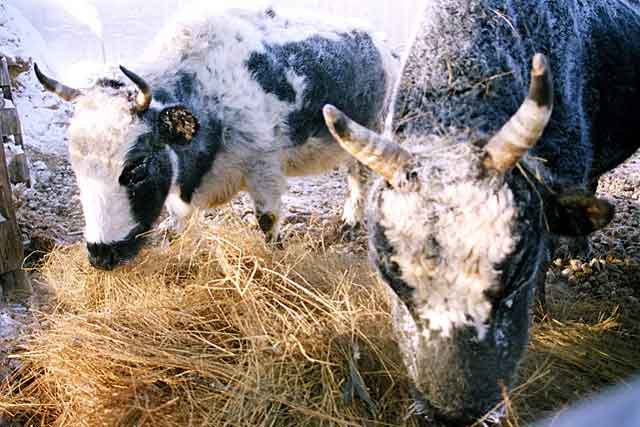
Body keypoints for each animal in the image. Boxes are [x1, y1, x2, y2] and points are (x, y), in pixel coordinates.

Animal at [33, 8, 397, 270]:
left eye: (136, 168)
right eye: (77, 168)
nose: (101, 255)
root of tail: (381, 42)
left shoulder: (264, 169)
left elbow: (268, 222)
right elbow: (179, 222)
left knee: (361, 176)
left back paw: (351, 221)